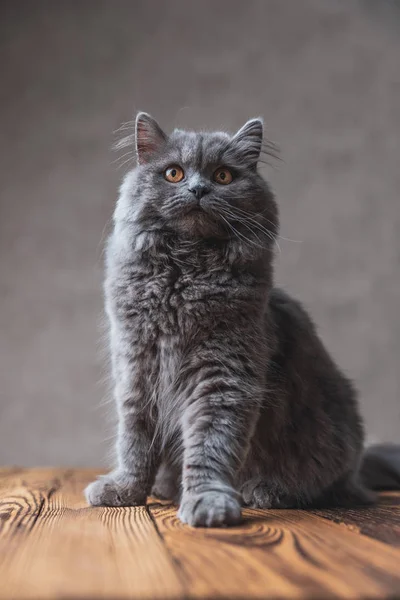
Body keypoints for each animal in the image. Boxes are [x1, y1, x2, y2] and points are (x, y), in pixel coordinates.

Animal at [85, 111, 400, 524]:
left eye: (223, 176)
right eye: (173, 174)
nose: (198, 190)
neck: (183, 278)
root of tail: (359, 468)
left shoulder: (224, 374)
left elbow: (209, 444)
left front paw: (208, 502)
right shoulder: (137, 366)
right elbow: (135, 440)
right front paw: (125, 489)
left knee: (324, 486)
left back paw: (267, 490)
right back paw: (165, 488)